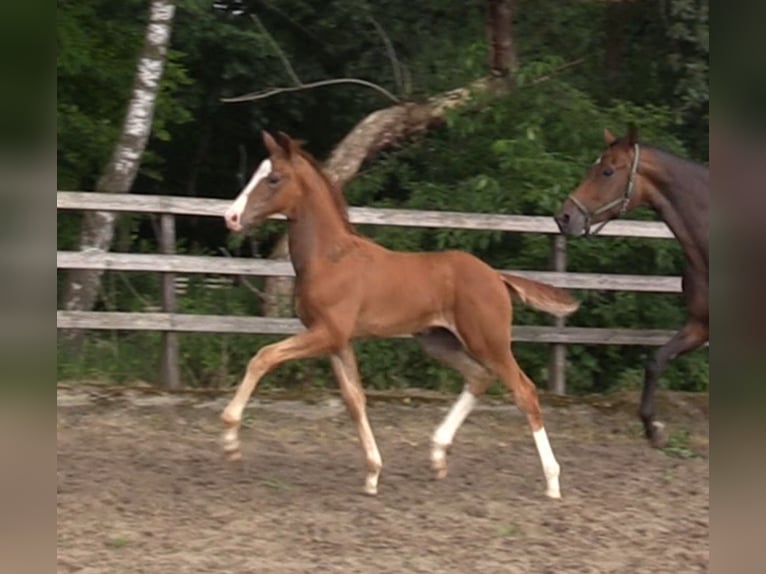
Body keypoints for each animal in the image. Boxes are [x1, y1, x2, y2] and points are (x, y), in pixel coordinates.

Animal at [219, 130, 580, 500]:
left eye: (274, 178)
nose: (230, 217)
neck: (330, 258)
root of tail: (497, 276)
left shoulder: (327, 333)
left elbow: (263, 357)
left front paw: (230, 439)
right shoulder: (335, 340)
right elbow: (355, 399)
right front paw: (372, 473)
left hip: (488, 341)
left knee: (524, 391)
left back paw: (552, 482)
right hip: (439, 342)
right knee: (479, 377)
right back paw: (437, 454)